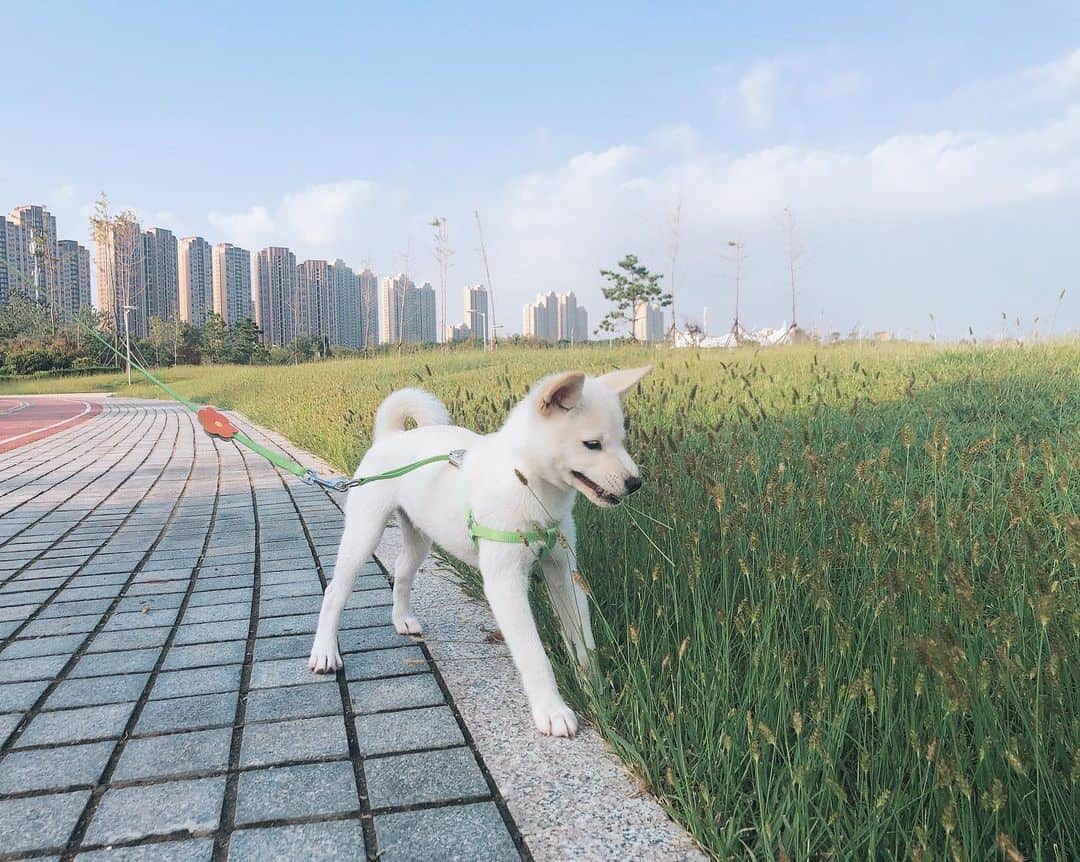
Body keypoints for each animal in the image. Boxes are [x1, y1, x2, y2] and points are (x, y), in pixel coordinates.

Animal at [308, 367, 652, 738]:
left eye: (621, 440)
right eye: (592, 445)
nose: (635, 483)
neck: (527, 482)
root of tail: (390, 437)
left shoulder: (564, 571)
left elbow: (584, 642)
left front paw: (597, 695)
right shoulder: (505, 583)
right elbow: (534, 655)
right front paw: (553, 711)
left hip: (420, 538)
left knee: (401, 570)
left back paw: (402, 619)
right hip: (364, 532)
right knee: (335, 591)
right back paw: (324, 653)